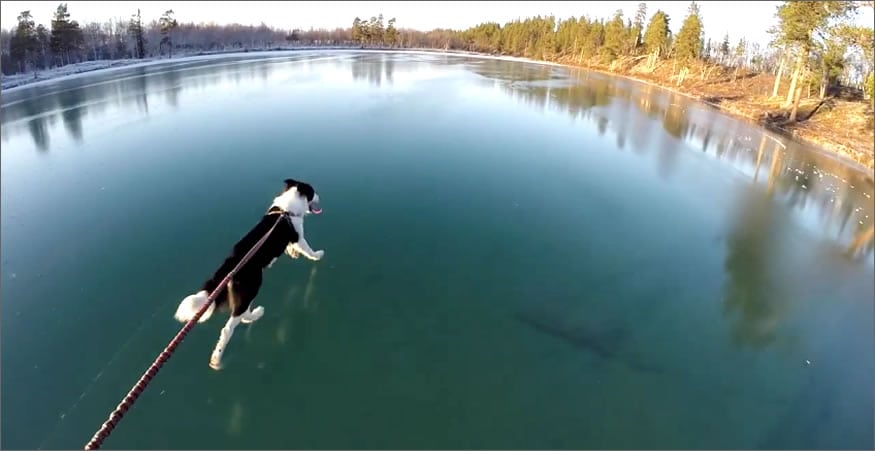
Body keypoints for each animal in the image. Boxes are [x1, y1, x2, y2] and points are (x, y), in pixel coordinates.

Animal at [173, 178, 324, 370]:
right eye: (313, 192)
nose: (320, 196)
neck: (286, 211)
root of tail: (228, 267)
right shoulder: (299, 237)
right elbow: (308, 250)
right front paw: (317, 255)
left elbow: (291, 248)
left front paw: (292, 253)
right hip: (252, 286)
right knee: (230, 325)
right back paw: (218, 356)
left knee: (241, 314)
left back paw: (254, 315)